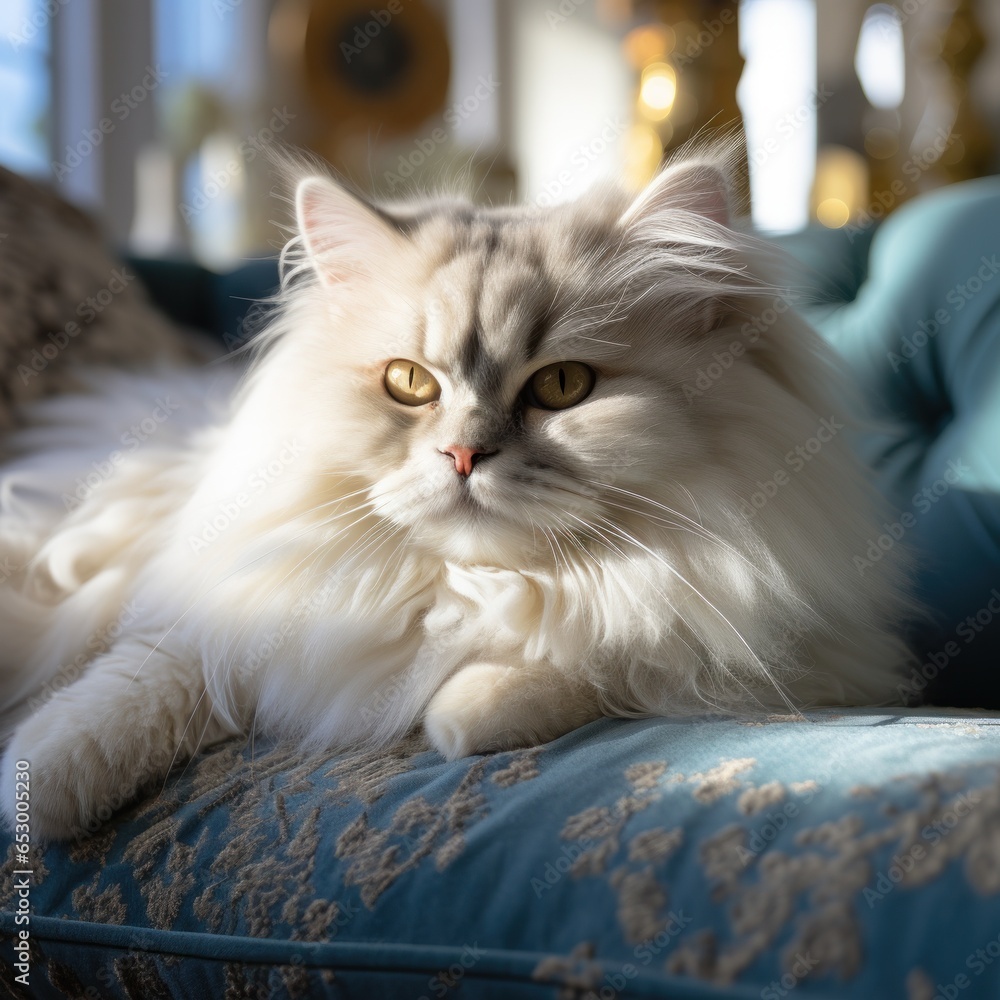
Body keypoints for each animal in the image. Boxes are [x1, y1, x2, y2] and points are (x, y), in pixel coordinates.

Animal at [0, 148, 912, 840]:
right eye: (409, 383)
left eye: (562, 387)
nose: (464, 453)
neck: (470, 583)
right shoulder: (223, 610)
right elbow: (128, 690)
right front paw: (33, 796)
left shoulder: (801, 651)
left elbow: (606, 652)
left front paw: (458, 711)